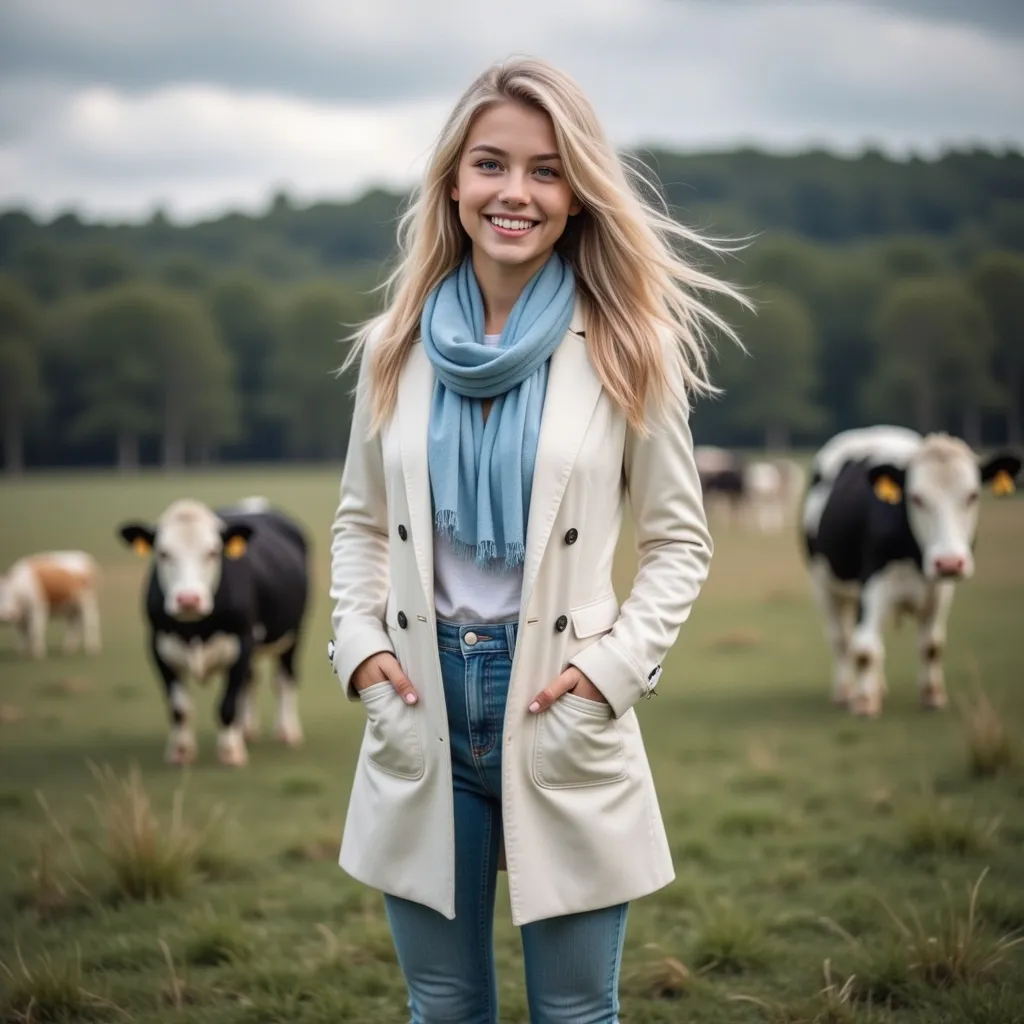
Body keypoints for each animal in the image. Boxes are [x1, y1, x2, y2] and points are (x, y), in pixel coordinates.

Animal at [117, 495, 307, 770]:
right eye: (163, 553)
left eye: (212, 552)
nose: (188, 599)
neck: (194, 628)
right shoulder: (158, 649)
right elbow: (180, 708)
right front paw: (181, 752)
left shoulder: (242, 644)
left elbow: (227, 705)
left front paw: (230, 752)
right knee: (251, 682)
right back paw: (247, 731)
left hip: (293, 636)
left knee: (284, 680)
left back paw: (287, 732)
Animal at [802, 428, 1019, 716]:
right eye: (916, 497)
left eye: (972, 495)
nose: (949, 562)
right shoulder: (872, 586)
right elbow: (865, 648)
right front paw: (864, 702)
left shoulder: (940, 589)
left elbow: (931, 646)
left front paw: (932, 696)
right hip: (823, 585)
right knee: (841, 640)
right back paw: (846, 692)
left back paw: (878, 687)